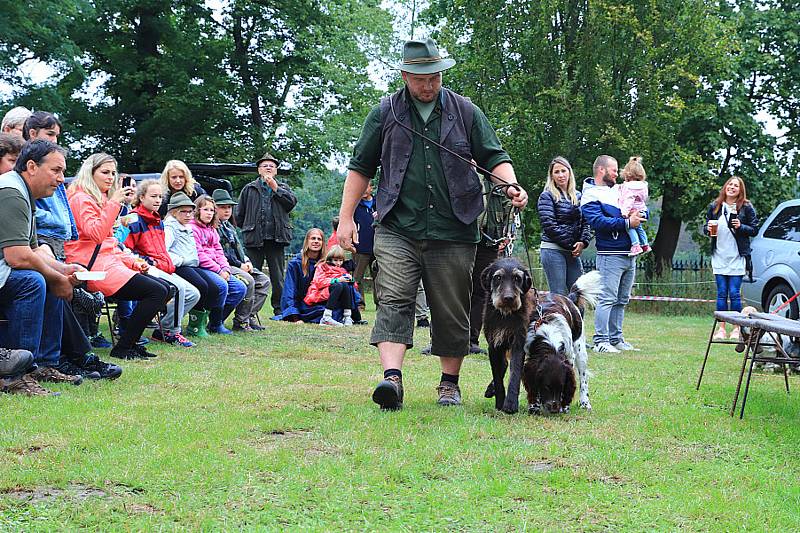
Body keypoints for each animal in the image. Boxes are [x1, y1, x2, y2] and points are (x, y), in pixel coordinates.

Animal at [482, 258, 600, 416]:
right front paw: (534, 406)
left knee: (583, 379)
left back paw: (585, 403)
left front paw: (565, 407)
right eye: (546, 386)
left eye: (561, 387)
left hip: (580, 352)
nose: (555, 409)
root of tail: (568, 297)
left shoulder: (568, 357)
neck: (548, 335)